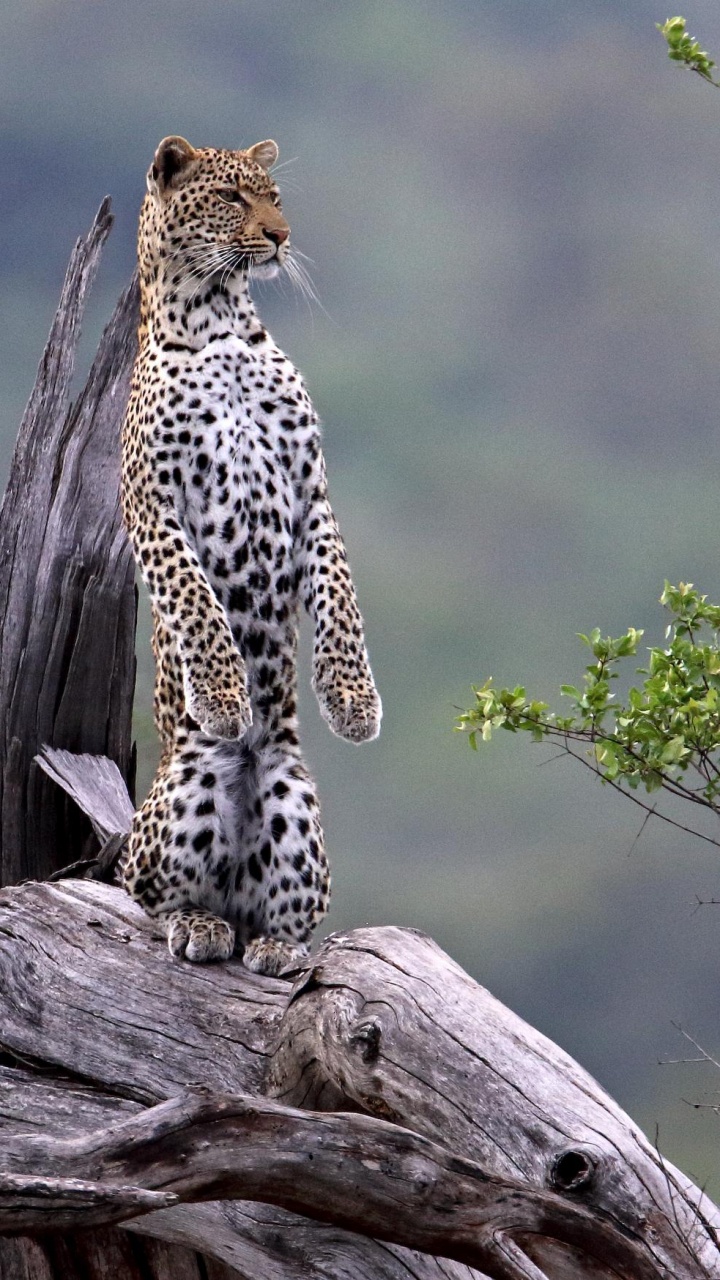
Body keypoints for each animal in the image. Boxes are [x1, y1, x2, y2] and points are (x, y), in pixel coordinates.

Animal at [120, 135, 381, 976]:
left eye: (274, 196)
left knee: (281, 916)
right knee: (149, 895)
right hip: (186, 790)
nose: (280, 237)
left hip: (297, 807)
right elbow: (195, 601)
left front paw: (353, 703)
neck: (220, 319)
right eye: (232, 199)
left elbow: (340, 595)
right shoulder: (151, 500)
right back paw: (197, 925)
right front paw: (227, 697)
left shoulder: (310, 487)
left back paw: (277, 946)